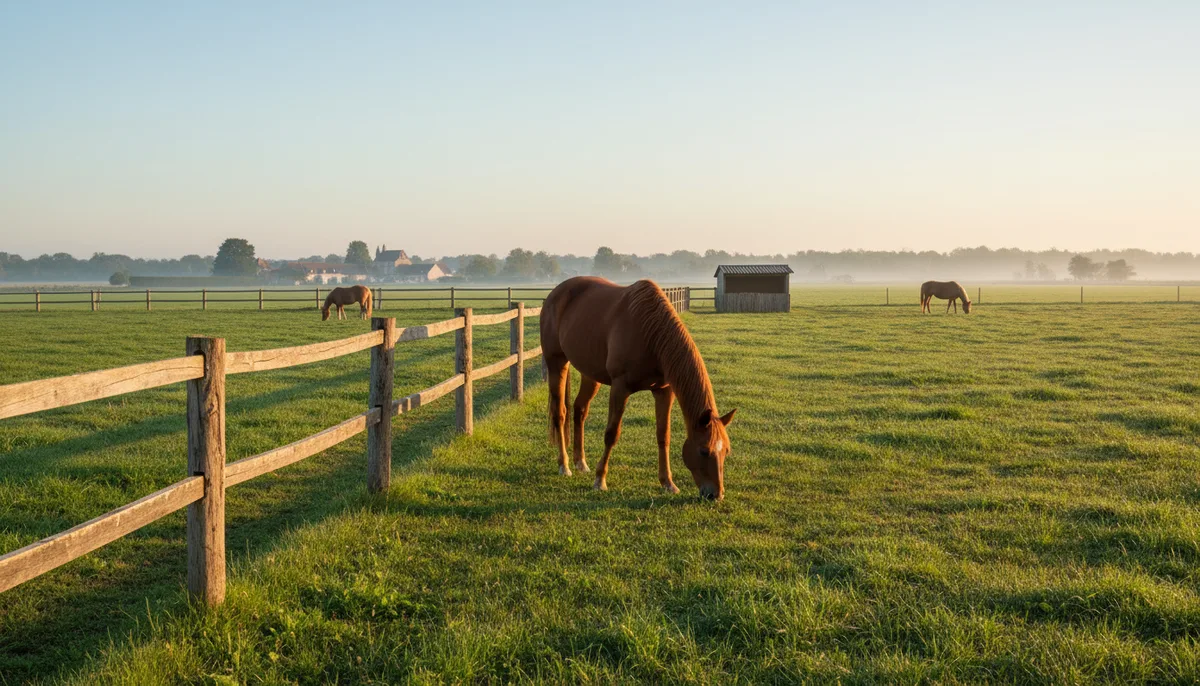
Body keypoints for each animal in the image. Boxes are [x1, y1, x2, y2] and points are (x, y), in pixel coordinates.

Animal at [540, 277, 736, 500]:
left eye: (726, 451)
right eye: (704, 450)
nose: (716, 495)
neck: (650, 333)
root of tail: (555, 294)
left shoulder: (664, 391)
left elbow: (663, 435)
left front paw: (668, 483)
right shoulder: (620, 388)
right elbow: (611, 434)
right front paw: (600, 480)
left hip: (589, 374)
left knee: (579, 410)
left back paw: (581, 463)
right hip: (556, 363)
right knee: (560, 413)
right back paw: (564, 466)